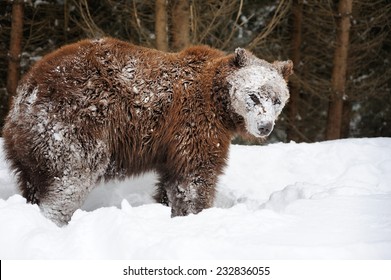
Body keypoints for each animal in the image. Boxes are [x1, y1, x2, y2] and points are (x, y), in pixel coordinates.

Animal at [2, 37, 290, 225]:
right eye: (254, 95)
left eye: (277, 99)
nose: (264, 127)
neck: (220, 104)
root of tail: (26, 90)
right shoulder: (195, 124)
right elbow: (195, 176)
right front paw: (197, 213)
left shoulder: (171, 145)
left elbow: (172, 183)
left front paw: (172, 211)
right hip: (74, 125)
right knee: (69, 181)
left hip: (30, 148)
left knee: (34, 183)